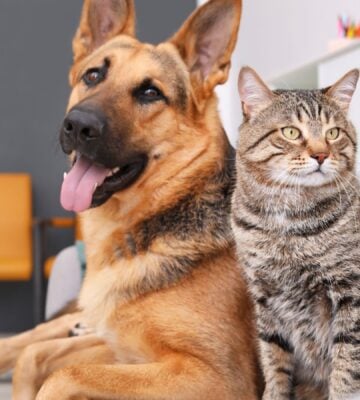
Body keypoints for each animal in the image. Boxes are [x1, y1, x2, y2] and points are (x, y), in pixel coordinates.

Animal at [3, 1, 262, 398]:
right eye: (93, 75)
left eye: (150, 93)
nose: (78, 125)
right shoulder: (121, 348)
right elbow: (35, 357)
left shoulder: (218, 377)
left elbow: (63, 375)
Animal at [232, 66, 358, 400]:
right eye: (291, 132)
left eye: (333, 133)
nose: (321, 155)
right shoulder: (265, 297)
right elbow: (274, 360)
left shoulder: (351, 290)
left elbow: (346, 364)